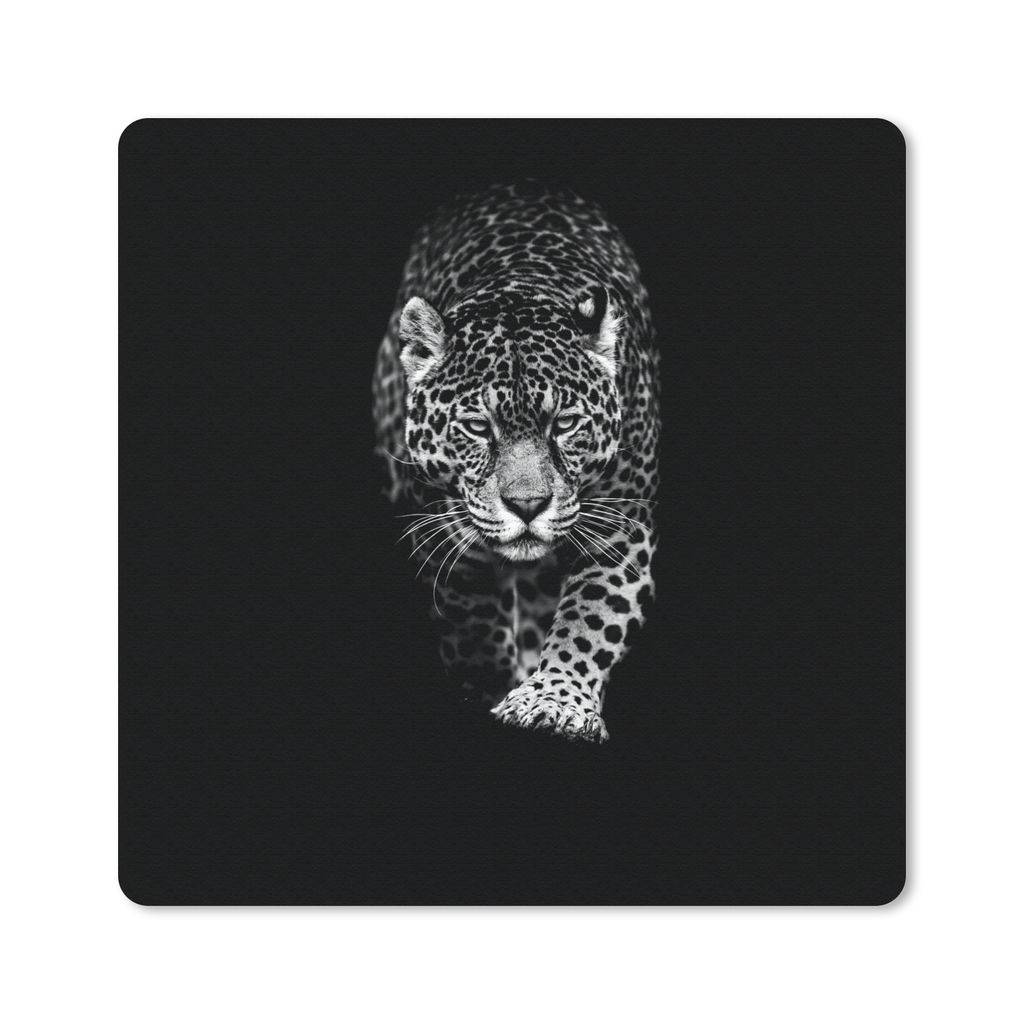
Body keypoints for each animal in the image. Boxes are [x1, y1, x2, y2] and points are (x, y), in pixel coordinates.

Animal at [372, 181, 660, 743]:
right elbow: (472, 625)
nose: (528, 506)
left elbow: (592, 616)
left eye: (565, 424)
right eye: (478, 427)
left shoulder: (620, 528)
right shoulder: (445, 538)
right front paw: (489, 688)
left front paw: (556, 701)